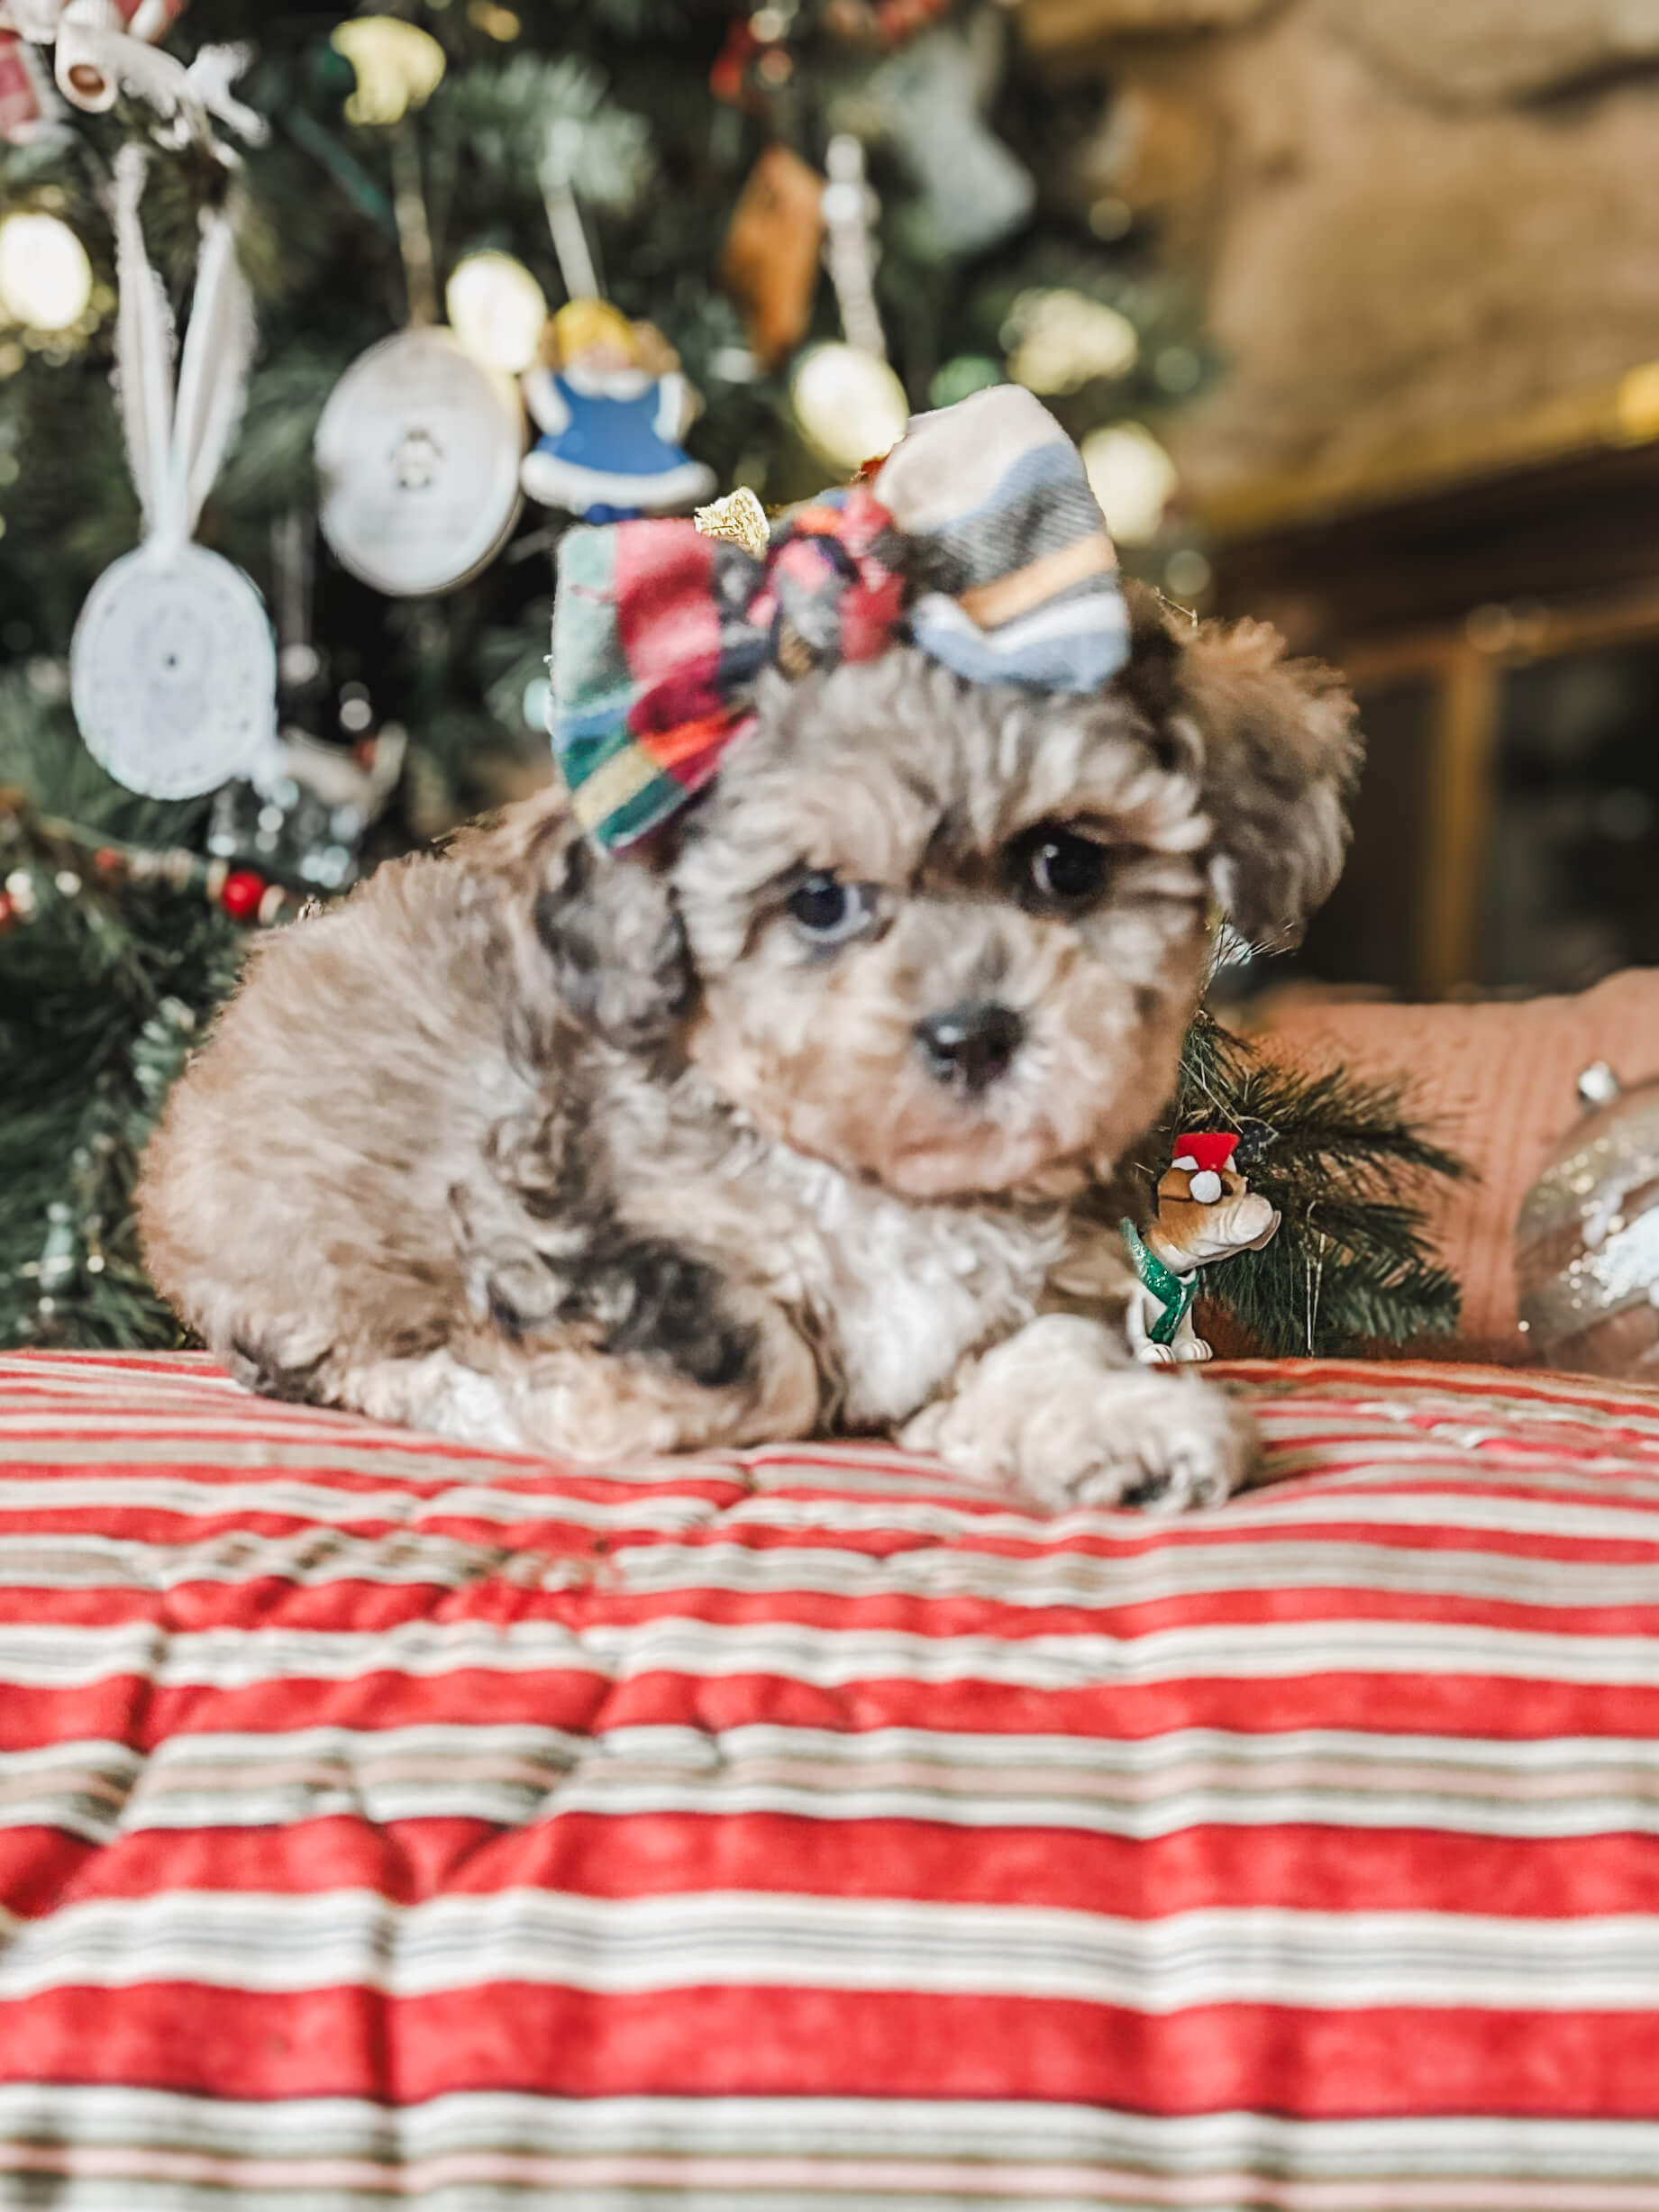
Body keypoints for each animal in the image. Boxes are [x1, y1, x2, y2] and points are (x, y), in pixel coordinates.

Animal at [140, 588, 1363, 1513]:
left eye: (1066, 864)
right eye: (818, 900)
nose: (973, 1034)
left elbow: (1039, 1349)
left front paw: (1118, 1420)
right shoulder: (562, 1223)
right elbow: (752, 1359)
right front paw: (546, 1403)